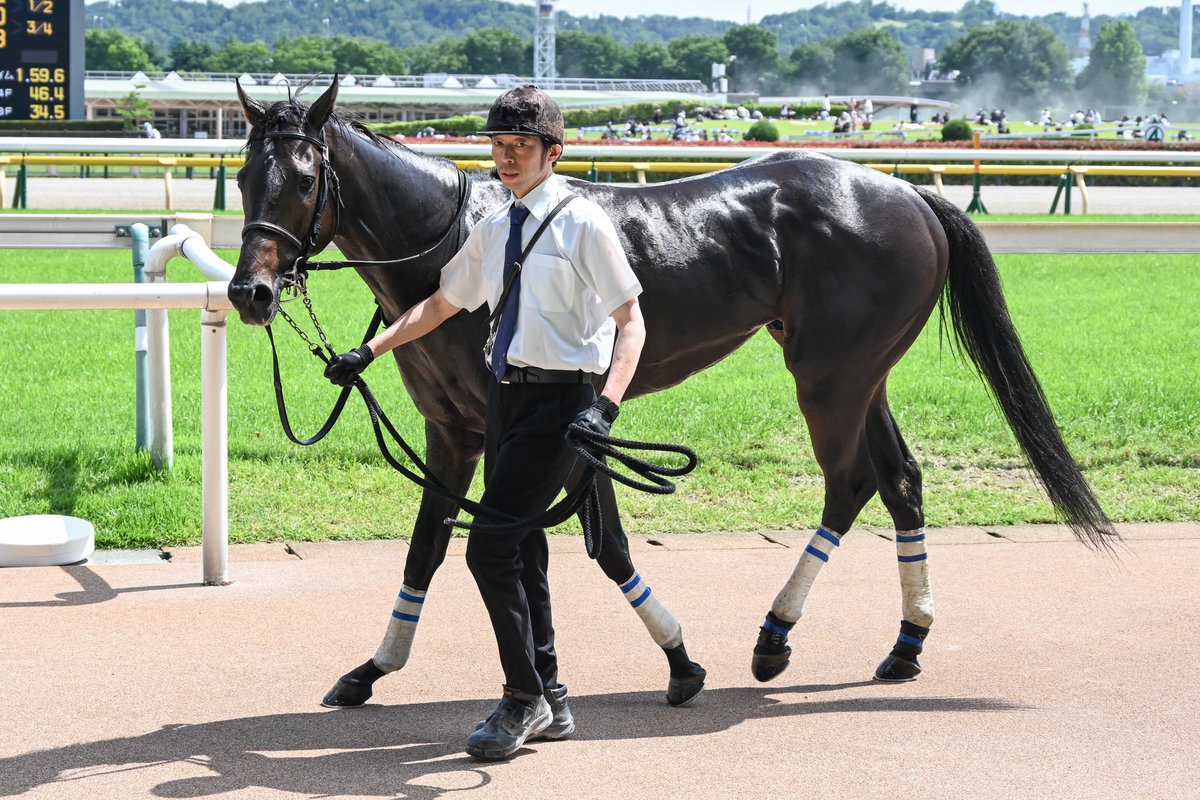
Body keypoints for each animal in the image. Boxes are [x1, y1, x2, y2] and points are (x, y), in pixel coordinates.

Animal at [228, 79, 1116, 710]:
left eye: (303, 179)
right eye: (241, 174)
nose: (249, 293)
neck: (462, 240)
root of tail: (907, 193)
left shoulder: (556, 427)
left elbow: (591, 546)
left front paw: (672, 660)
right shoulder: (456, 431)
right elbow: (431, 546)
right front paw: (375, 668)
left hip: (831, 376)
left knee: (852, 482)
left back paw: (775, 635)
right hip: (864, 374)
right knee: (900, 480)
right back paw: (906, 642)